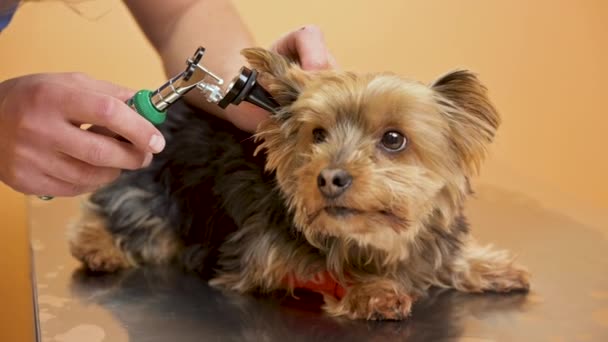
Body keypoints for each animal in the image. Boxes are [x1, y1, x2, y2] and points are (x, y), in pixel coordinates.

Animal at [69, 48, 528, 320]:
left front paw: (488, 266)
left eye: (394, 139)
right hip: (160, 192)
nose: (329, 177)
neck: (368, 239)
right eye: (318, 134)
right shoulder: (260, 257)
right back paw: (98, 247)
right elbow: (320, 269)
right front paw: (373, 290)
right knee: (121, 213)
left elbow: (444, 258)